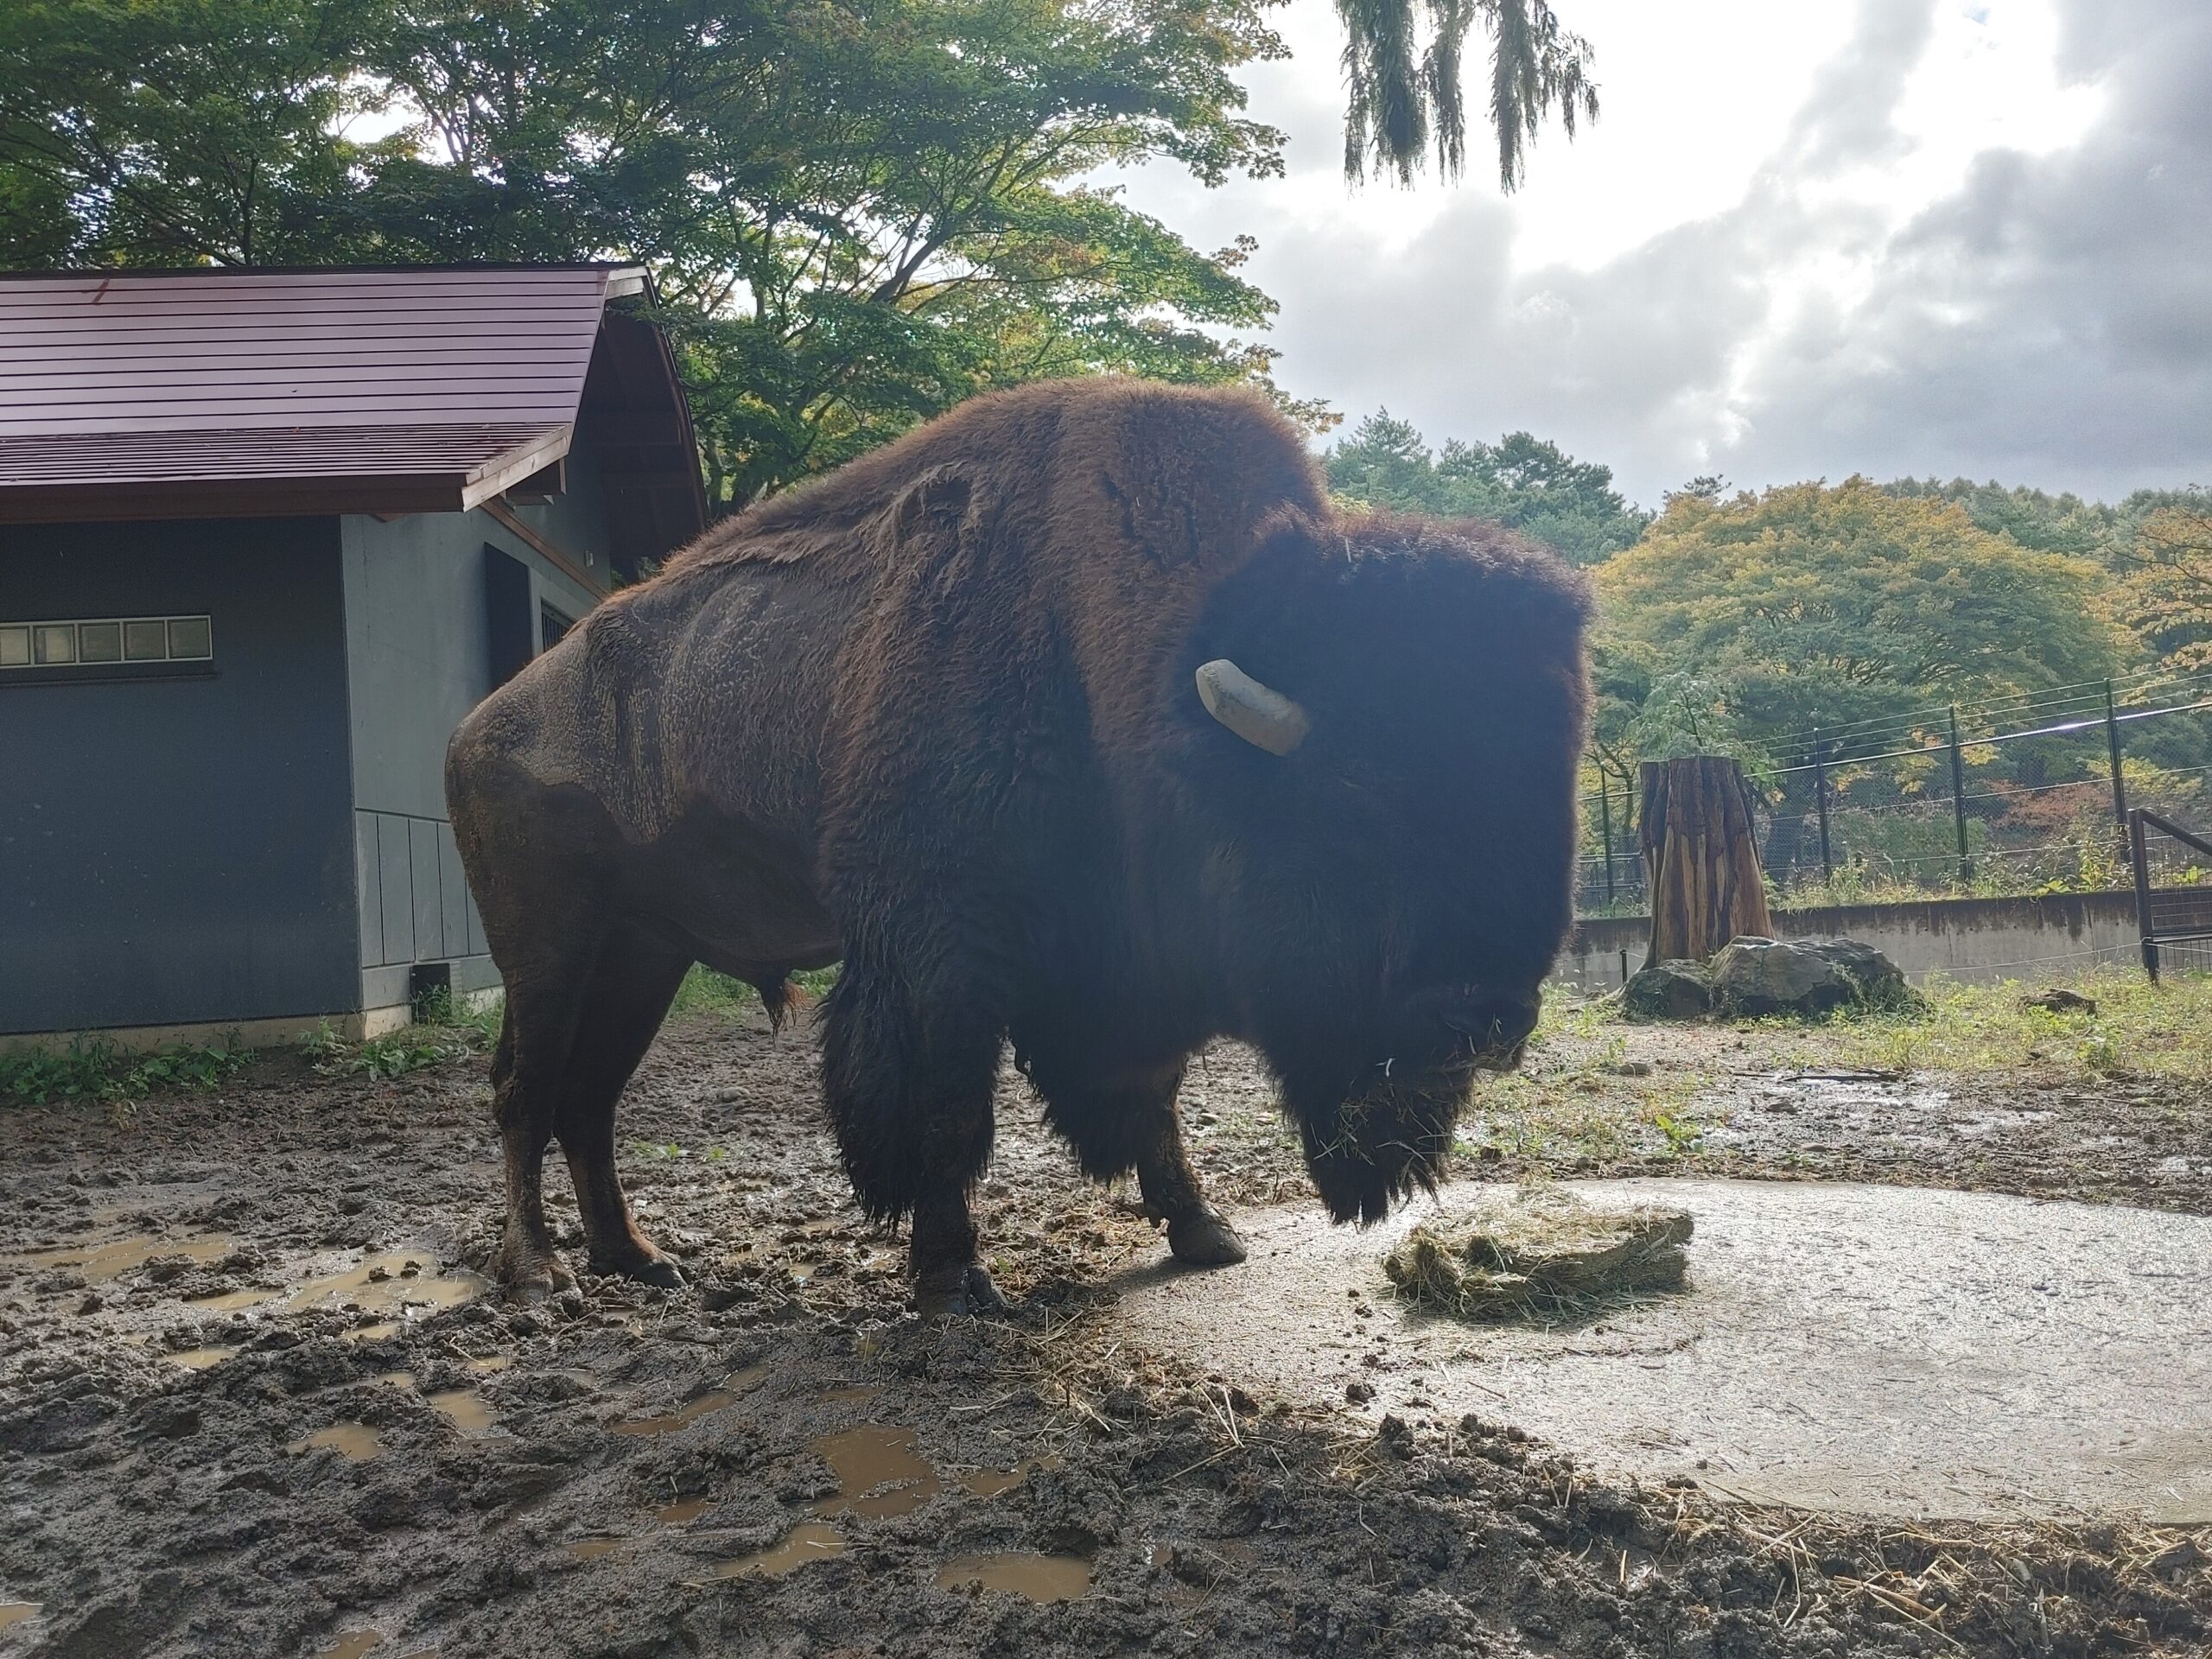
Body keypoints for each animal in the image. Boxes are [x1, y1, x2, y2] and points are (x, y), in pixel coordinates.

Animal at [446, 378, 1592, 1314]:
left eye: (1552, 798)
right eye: (1355, 801)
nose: (1486, 1021)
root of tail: (475, 730)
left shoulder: (1126, 956)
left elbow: (1152, 1095)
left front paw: (1204, 1234)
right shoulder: (940, 942)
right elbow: (948, 1105)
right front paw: (954, 1279)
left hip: (645, 952)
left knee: (590, 1101)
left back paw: (638, 1258)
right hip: (548, 952)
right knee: (525, 1092)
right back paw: (539, 1276)